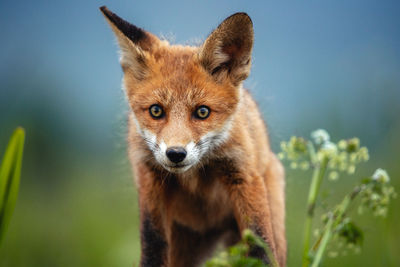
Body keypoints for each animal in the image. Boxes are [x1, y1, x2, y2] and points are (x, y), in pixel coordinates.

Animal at [101, 6, 286, 267]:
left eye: (202, 112)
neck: (196, 175)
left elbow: (260, 245)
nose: (176, 154)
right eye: (156, 111)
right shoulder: (149, 178)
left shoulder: (243, 175)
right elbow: (152, 243)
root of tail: (211, 227)